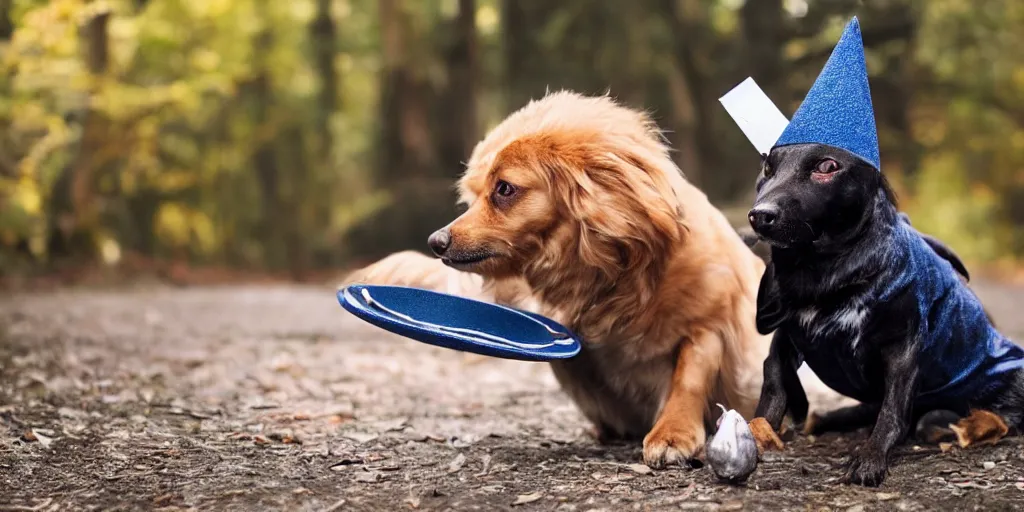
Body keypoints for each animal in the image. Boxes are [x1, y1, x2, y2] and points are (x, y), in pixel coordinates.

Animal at [344, 92, 774, 468]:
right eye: (477, 192)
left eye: (504, 189)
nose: (436, 242)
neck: (616, 278)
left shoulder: (709, 325)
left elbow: (688, 377)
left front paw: (673, 433)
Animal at [745, 142, 1024, 485]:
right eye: (768, 168)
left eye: (827, 166)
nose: (759, 216)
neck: (824, 272)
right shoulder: (786, 336)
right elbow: (773, 383)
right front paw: (757, 432)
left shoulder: (902, 348)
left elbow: (892, 412)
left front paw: (870, 457)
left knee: (996, 416)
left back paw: (960, 423)